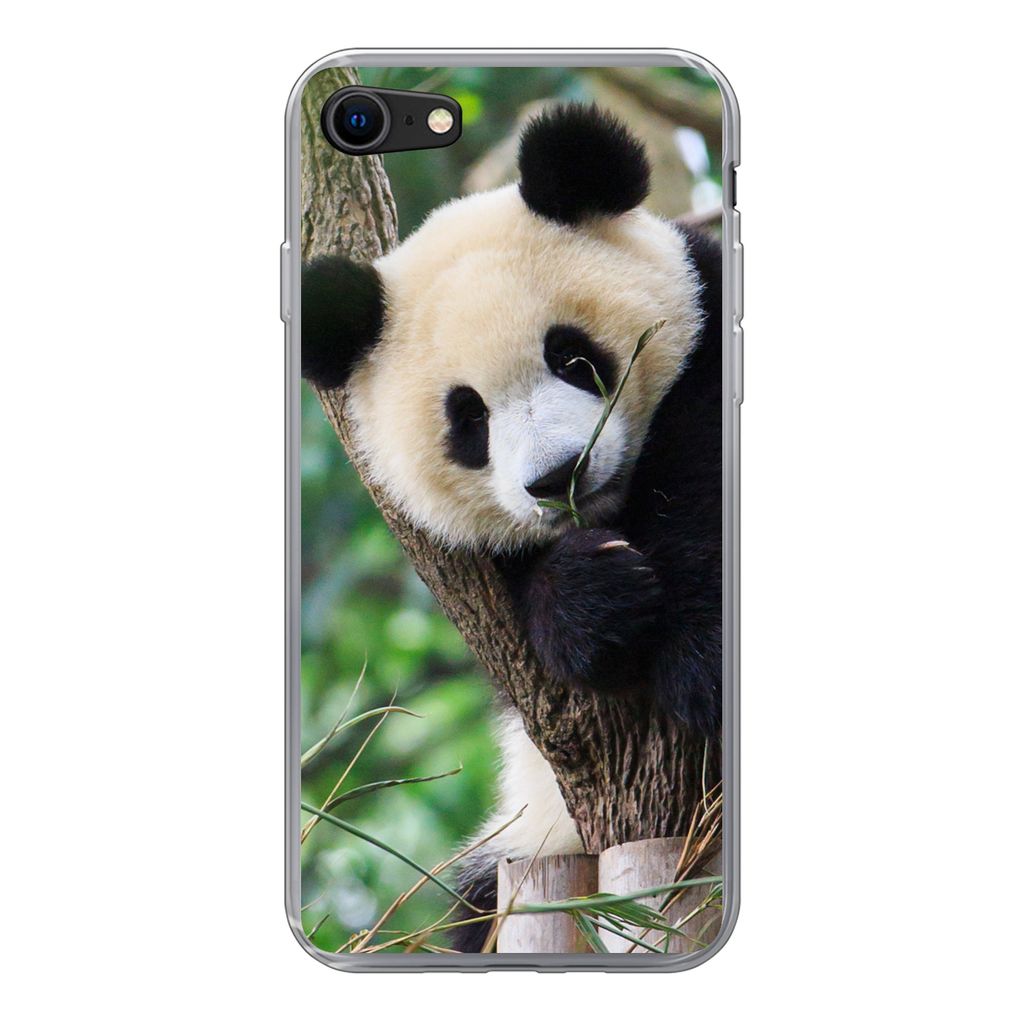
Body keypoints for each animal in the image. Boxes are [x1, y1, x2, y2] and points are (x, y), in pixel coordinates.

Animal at [302, 104, 722, 952]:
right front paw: (593, 599)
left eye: (572, 355)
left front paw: (701, 662)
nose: (560, 476)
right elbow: (518, 620)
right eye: (469, 420)